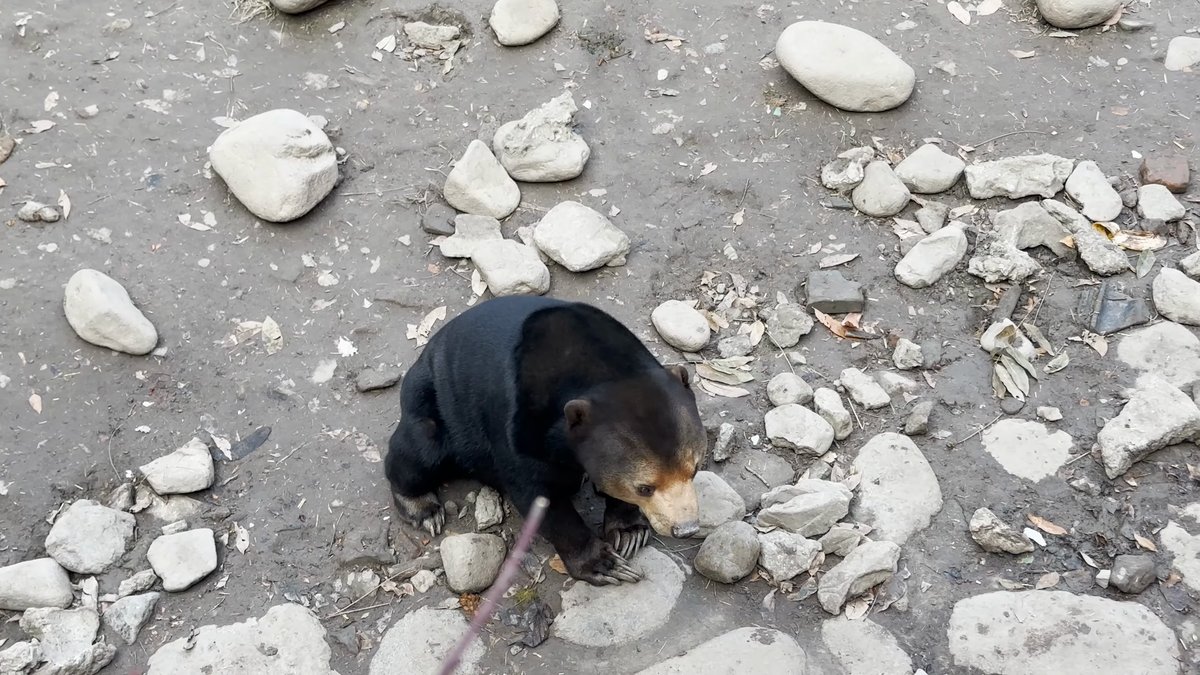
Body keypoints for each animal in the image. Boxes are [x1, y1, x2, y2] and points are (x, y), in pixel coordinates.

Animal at [385, 296, 706, 586]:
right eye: (645, 487)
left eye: (694, 469)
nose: (685, 529)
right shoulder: (521, 429)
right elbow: (540, 497)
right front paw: (605, 564)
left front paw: (629, 533)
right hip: (434, 408)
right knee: (417, 453)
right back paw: (424, 509)